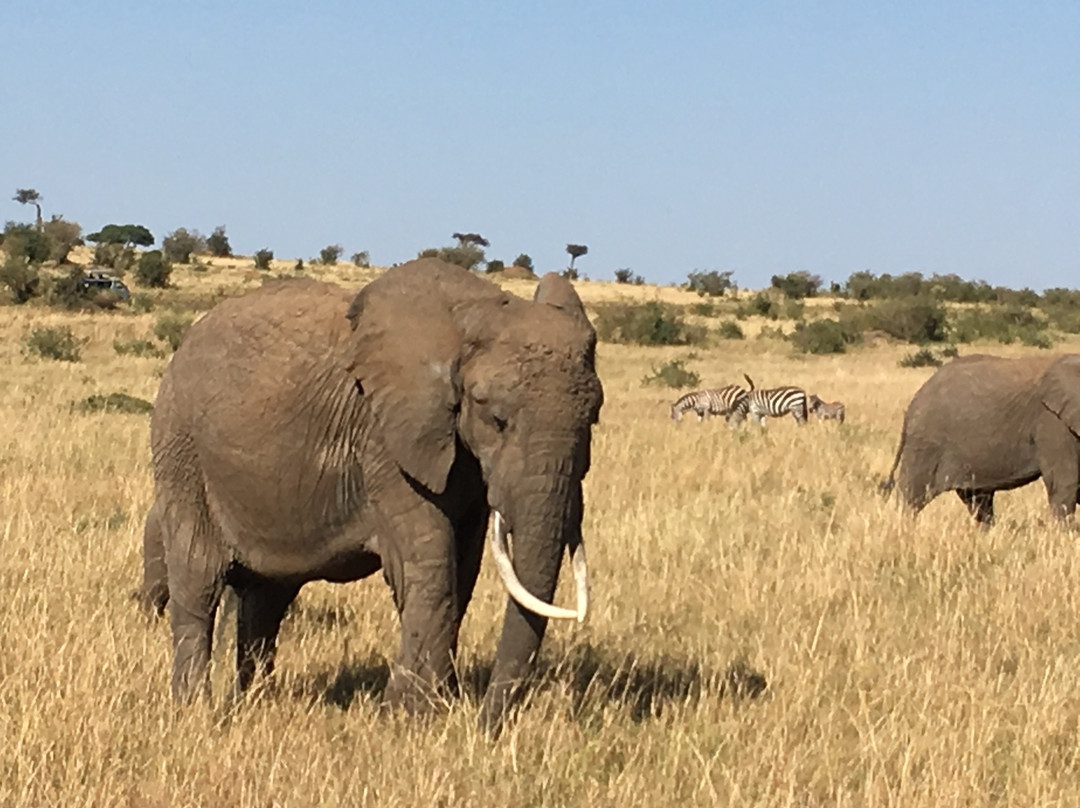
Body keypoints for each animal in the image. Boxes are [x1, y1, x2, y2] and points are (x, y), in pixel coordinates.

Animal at [136, 257, 604, 730]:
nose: (484, 725)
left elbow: (464, 567)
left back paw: (253, 703)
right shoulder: (383, 439)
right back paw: (193, 709)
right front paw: (413, 715)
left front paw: (435, 704)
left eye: (594, 418)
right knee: (199, 579)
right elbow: (430, 563)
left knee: (267, 596)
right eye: (496, 419)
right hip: (181, 447)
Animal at [881, 354, 1080, 524]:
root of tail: (911, 406)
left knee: (978, 502)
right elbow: (1064, 484)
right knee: (912, 497)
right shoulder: (1051, 422)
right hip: (926, 443)